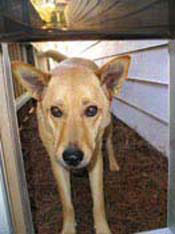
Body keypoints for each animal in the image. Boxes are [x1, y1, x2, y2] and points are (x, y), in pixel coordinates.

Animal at [11, 51, 130, 234]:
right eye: (56, 111)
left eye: (91, 110)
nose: (72, 157)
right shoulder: (57, 164)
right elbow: (67, 204)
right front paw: (68, 228)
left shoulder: (95, 160)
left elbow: (98, 202)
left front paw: (102, 228)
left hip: (108, 126)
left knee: (109, 143)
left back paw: (113, 164)